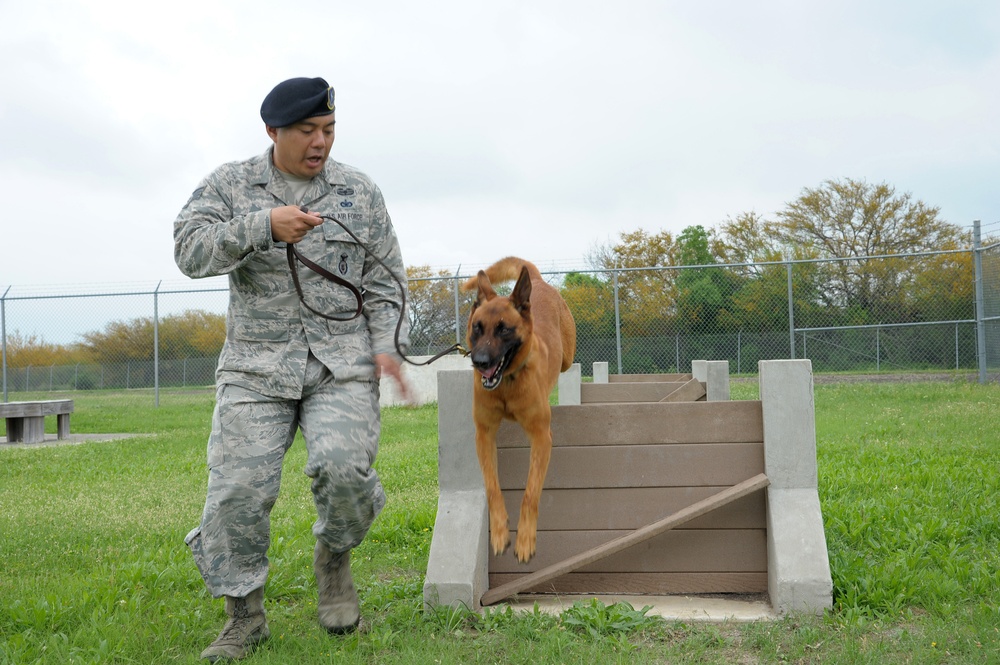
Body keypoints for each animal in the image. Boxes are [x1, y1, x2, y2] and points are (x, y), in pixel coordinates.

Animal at [462, 254, 580, 560]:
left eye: (504, 329)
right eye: (477, 327)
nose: (479, 362)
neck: (506, 383)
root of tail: (536, 280)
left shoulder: (540, 436)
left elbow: (530, 493)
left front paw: (525, 539)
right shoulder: (484, 435)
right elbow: (492, 488)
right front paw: (500, 533)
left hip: (567, 356)